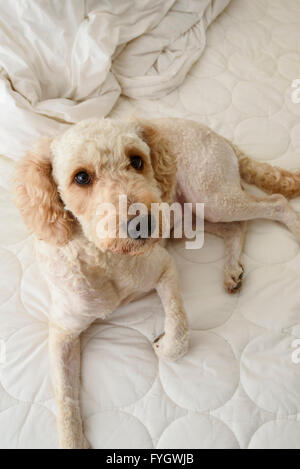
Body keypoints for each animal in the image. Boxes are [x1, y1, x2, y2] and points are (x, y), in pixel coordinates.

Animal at [14, 117, 300, 446]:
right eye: (81, 177)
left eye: (137, 160)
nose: (143, 223)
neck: (107, 258)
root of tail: (214, 134)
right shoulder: (63, 332)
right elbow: (64, 396)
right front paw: (73, 440)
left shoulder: (164, 268)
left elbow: (179, 329)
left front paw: (164, 346)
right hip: (190, 219)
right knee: (237, 228)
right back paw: (231, 269)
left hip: (212, 197)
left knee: (276, 203)